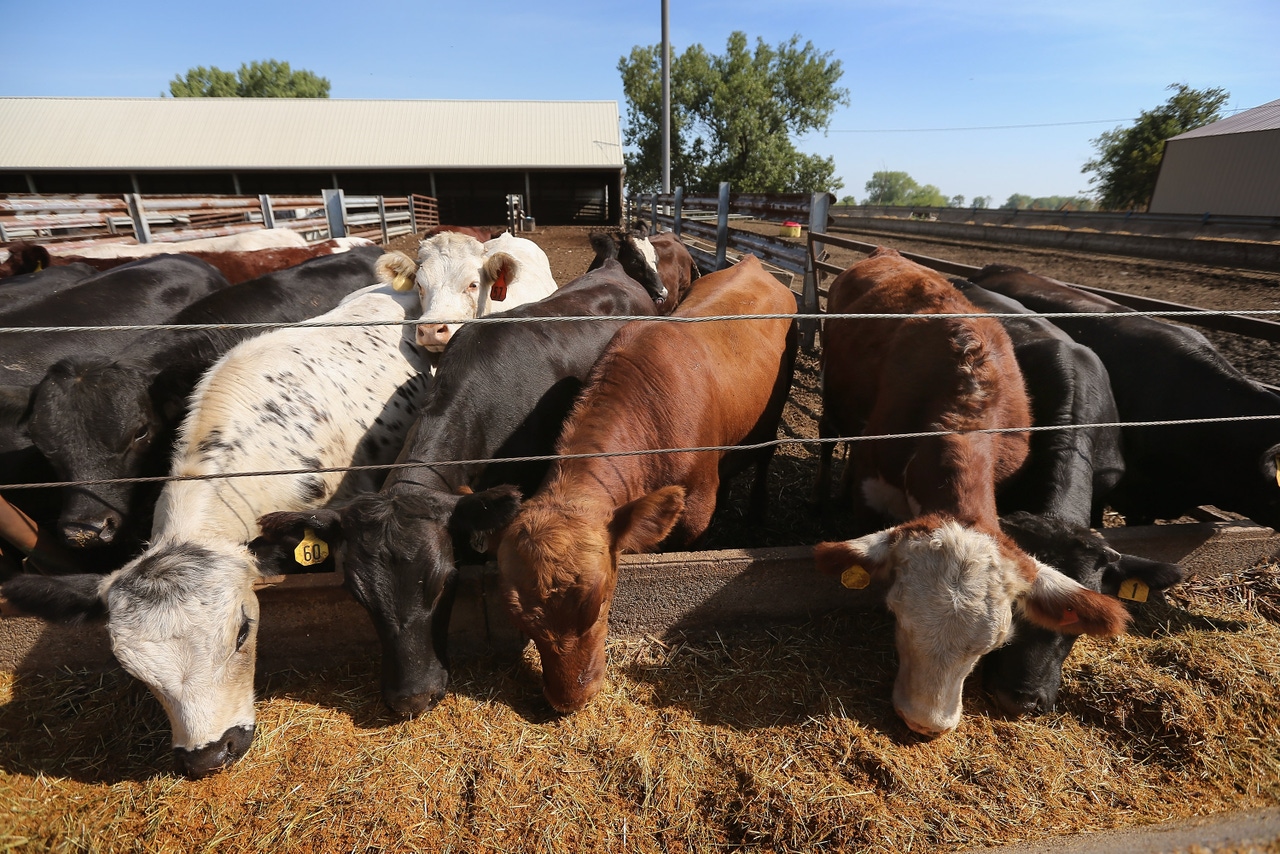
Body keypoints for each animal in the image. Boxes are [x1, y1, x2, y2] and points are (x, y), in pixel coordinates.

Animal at [498, 254, 797, 713]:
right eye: (521, 620)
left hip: (772, 412)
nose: (569, 700)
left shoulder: (695, 509)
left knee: (764, 458)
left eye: (601, 603)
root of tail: (751, 263)